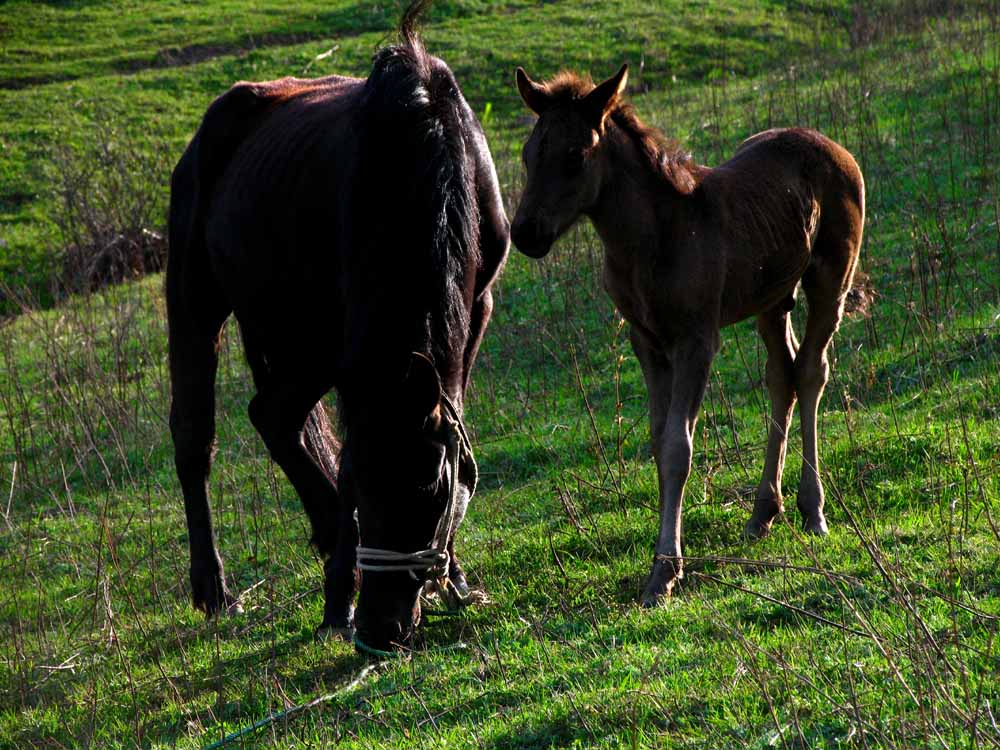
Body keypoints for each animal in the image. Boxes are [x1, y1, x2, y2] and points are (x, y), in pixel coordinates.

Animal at [167, 1, 508, 652]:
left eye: (431, 492)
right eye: (362, 487)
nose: (382, 626)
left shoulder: (477, 307)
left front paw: (454, 573)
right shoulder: (343, 346)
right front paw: (339, 589)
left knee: (277, 420)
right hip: (202, 304)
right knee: (202, 434)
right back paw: (217, 587)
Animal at [512, 61, 864, 608]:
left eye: (575, 155)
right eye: (530, 154)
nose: (525, 233)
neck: (651, 240)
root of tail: (836, 147)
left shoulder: (697, 338)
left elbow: (680, 447)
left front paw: (664, 573)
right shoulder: (646, 341)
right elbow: (660, 443)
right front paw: (664, 560)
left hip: (831, 276)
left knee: (810, 369)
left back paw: (813, 510)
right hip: (772, 297)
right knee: (781, 374)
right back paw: (763, 512)